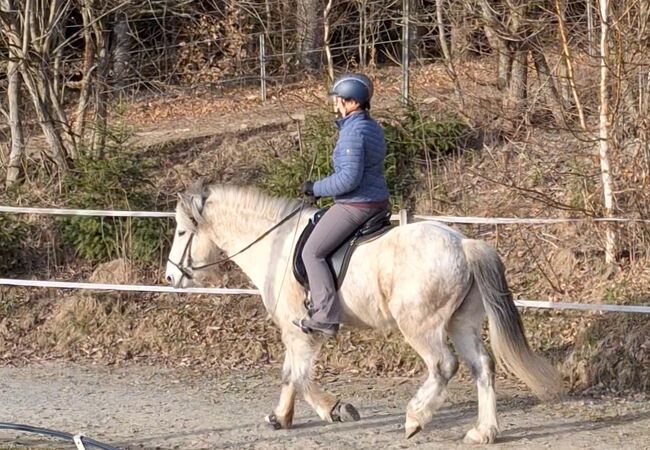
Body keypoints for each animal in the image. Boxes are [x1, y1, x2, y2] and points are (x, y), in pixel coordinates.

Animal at [165, 179, 563, 444]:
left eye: (182, 231)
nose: (170, 277)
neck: (276, 246)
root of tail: (463, 243)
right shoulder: (296, 332)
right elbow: (290, 374)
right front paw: (282, 417)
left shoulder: (299, 330)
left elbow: (297, 376)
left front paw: (333, 409)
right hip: (461, 323)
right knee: (482, 366)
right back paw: (484, 432)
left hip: (421, 325)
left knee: (442, 366)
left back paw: (415, 418)